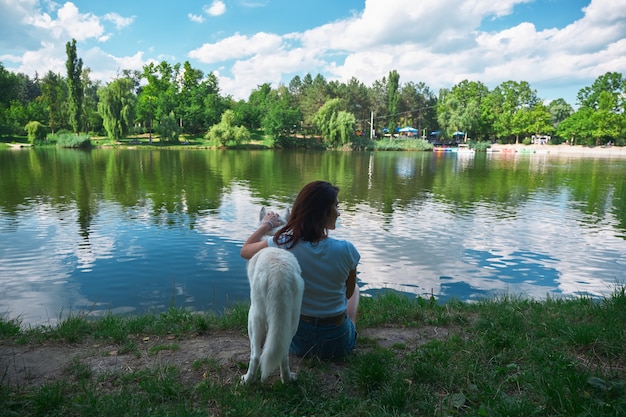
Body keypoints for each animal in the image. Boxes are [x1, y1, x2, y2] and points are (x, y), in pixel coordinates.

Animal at [241, 247, 302, 384]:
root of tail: (278, 273)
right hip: (293, 319)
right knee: (283, 355)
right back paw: (287, 379)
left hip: (254, 315)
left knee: (255, 356)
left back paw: (247, 380)